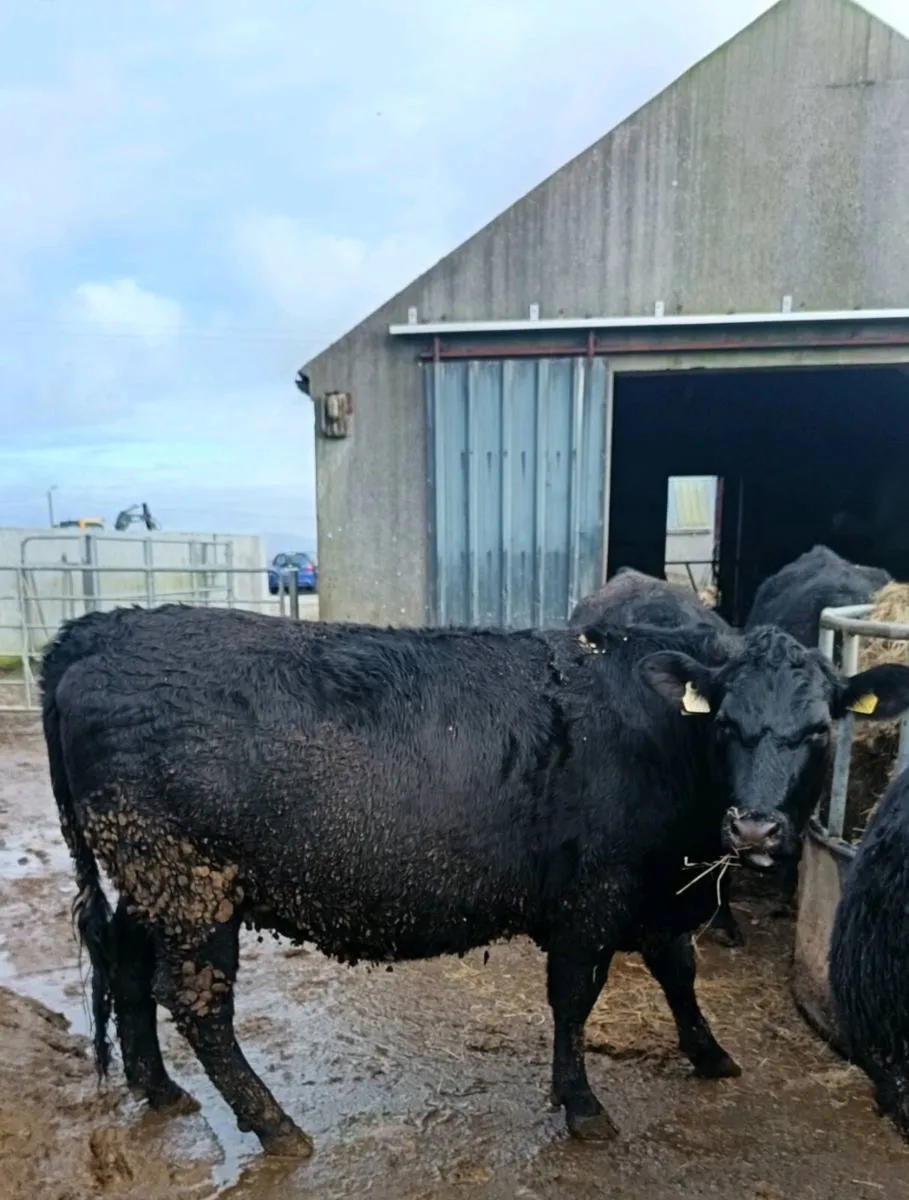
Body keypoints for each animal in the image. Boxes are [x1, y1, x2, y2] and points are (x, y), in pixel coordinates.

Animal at [42, 604, 909, 1157]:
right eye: (726, 723)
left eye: (818, 730)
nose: (754, 829)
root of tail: (103, 627)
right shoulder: (591, 896)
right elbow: (575, 998)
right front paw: (582, 1106)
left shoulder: (660, 893)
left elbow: (677, 970)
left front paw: (709, 1054)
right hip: (186, 880)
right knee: (196, 1003)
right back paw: (276, 1126)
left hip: (149, 882)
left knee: (125, 965)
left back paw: (158, 1089)